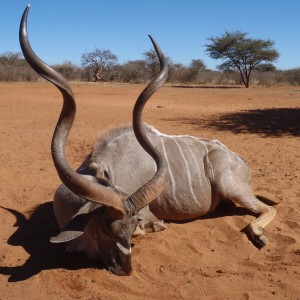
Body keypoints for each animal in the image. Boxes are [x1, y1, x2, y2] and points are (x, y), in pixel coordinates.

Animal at [19, 5, 276, 276]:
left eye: (131, 227)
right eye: (105, 229)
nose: (125, 269)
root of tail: (239, 160)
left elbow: (154, 225)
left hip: (231, 186)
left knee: (268, 207)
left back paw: (259, 234)